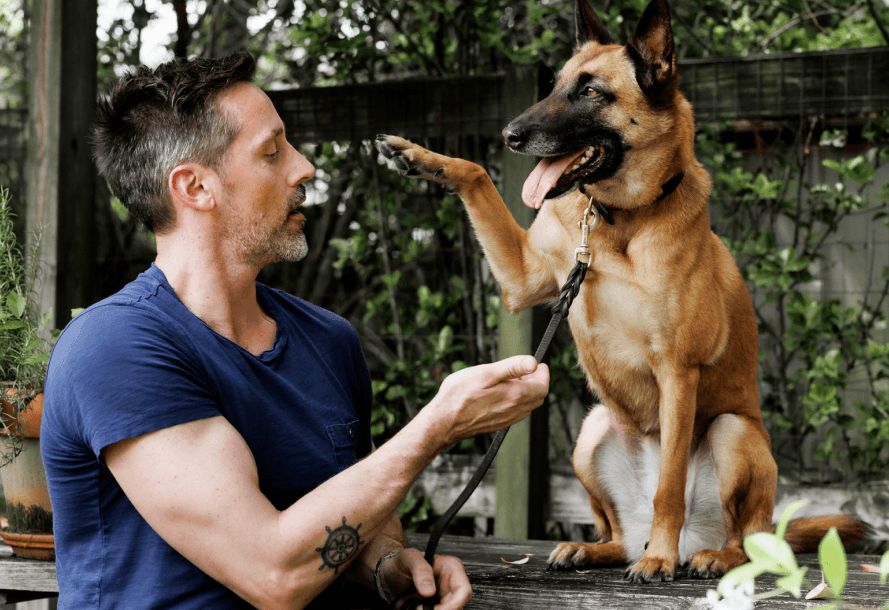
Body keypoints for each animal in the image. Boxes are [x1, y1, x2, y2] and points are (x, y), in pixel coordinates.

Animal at [372, 0, 864, 580]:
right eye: (556, 85)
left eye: (591, 92)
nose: (510, 135)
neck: (616, 220)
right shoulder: (521, 278)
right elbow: (475, 175)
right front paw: (419, 156)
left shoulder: (677, 373)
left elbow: (668, 486)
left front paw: (660, 559)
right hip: (592, 430)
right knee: (616, 532)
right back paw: (595, 549)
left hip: (731, 432)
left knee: (747, 541)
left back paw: (702, 555)